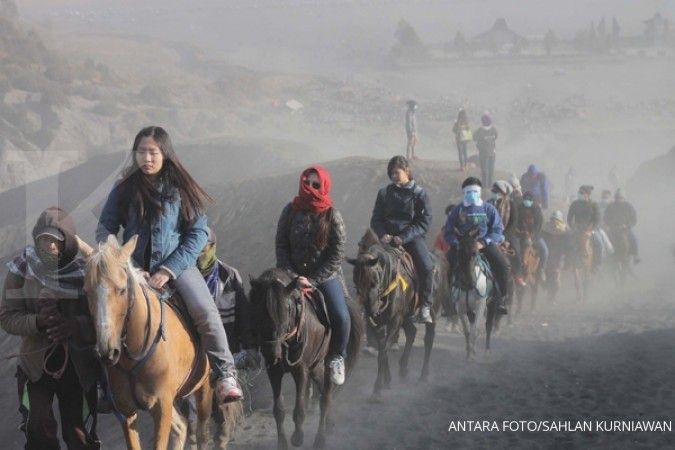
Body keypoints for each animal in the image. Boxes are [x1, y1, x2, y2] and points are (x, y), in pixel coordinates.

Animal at [78, 236, 242, 450]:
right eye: (87, 292)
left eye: (122, 290)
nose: (107, 352)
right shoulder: (128, 412)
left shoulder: (162, 406)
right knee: (182, 427)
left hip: (203, 387)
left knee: (201, 432)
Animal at [250, 268, 364, 448]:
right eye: (256, 308)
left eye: (287, 309)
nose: (271, 352)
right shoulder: (274, 371)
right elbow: (279, 410)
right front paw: (282, 443)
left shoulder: (300, 370)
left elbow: (299, 409)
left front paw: (297, 437)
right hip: (315, 366)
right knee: (323, 390)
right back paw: (330, 423)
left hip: (326, 363)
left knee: (325, 398)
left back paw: (320, 439)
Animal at [348, 230, 444, 400]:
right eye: (356, 281)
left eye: (374, 279)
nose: (371, 310)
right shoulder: (379, 324)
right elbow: (382, 350)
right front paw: (387, 380)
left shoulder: (395, 320)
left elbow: (383, 351)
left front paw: (377, 390)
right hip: (406, 317)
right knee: (412, 332)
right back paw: (403, 369)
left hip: (430, 312)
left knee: (428, 339)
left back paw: (423, 375)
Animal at [452, 227, 500, 360]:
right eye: (459, 251)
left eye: (474, 252)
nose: (469, 281)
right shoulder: (461, 308)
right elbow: (467, 331)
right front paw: (469, 352)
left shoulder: (480, 305)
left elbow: (475, 330)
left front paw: (472, 355)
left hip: (492, 304)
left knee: (488, 325)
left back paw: (487, 350)